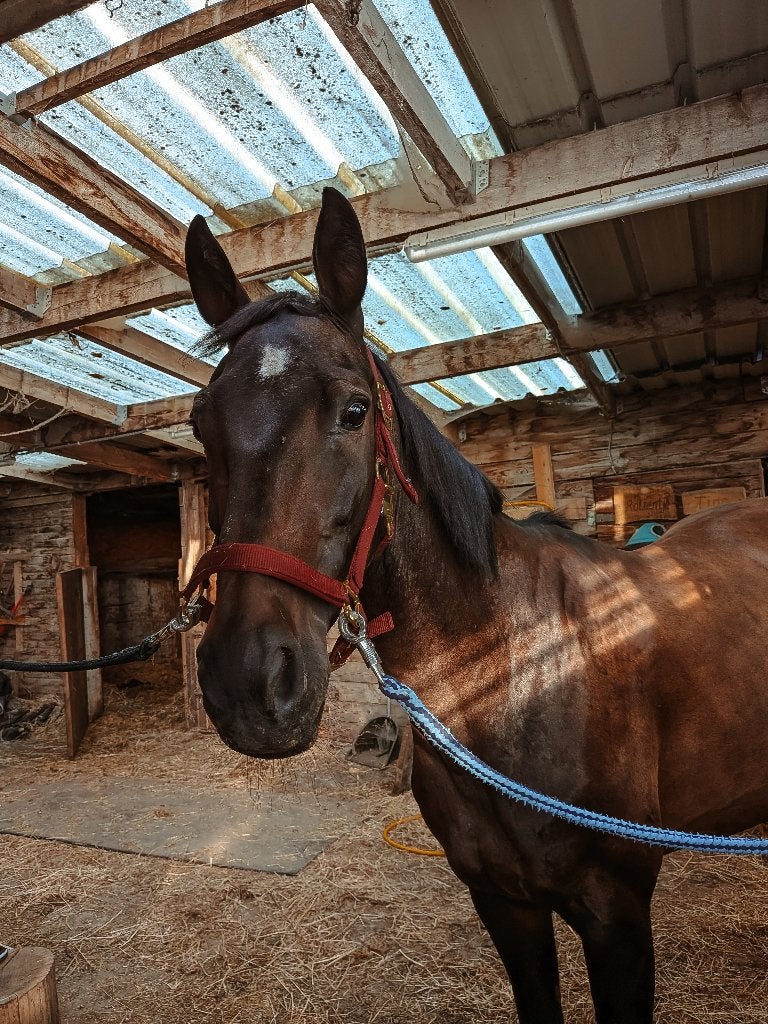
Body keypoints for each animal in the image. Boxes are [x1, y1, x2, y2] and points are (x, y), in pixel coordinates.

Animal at [183, 186, 768, 1024]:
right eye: (201, 422)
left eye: (355, 411)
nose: (247, 685)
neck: (514, 669)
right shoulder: (503, 904)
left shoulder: (618, 914)